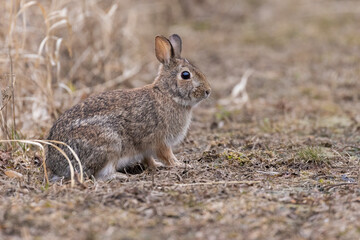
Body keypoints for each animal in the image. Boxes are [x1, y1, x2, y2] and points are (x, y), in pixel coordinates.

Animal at [46, 34, 212, 180]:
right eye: (185, 75)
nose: (208, 91)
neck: (168, 94)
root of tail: (57, 165)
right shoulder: (160, 141)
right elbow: (167, 156)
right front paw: (180, 165)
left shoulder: (146, 149)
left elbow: (148, 158)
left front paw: (156, 166)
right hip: (110, 144)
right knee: (100, 175)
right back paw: (123, 176)